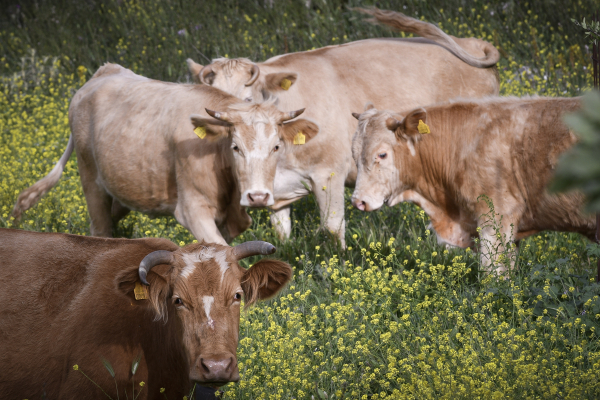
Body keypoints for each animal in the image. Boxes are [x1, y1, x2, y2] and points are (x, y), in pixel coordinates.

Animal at [12, 63, 318, 244]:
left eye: (276, 146)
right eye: (235, 147)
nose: (258, 197)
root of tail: (105, 71)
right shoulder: (193, 209)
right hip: (91, 181)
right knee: (100, 228)